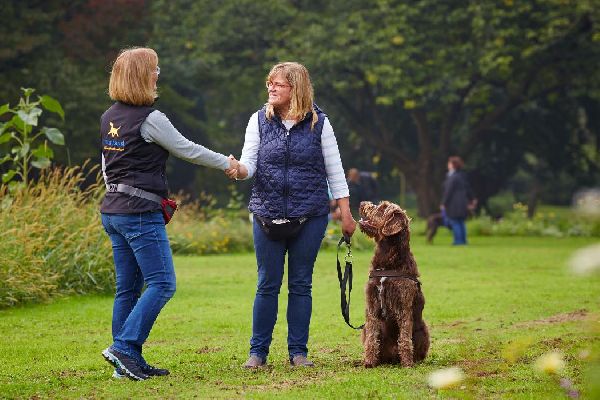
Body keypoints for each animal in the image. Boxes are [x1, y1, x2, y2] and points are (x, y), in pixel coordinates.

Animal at [358, 201, 430, 368]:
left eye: (383, 208)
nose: (362, 203)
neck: (387, 263)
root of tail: (391, 357)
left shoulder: (403, 307)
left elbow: (404, 338)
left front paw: (407, 363)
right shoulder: (372, 305)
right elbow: (372, 337)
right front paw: (369, 362)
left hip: (423, 330)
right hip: (365, 329)